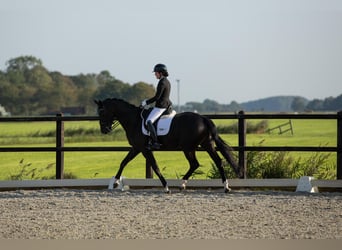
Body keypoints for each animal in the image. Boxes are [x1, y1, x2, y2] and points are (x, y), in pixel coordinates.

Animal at [95, 98, 242, 192]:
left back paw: (183, 184)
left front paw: (166, 187)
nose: (104, 130)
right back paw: (225, 187)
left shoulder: (144, 149)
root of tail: (203, 118)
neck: (134, 120)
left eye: (101, 112)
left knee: (195, 164)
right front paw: (115, 182)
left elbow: (155, 166)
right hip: (206, 145)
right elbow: (124, 162)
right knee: (216, 161)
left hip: (188, 148)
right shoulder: (137, 148)